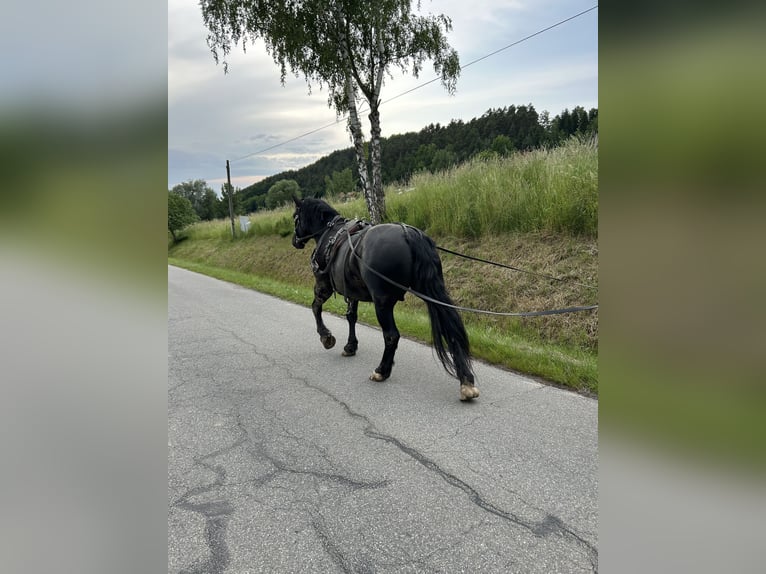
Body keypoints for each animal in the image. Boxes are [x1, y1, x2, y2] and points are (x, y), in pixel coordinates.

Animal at [291, 196, 480, 401]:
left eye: (295, 218)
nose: (295, 241)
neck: (330, 233)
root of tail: (408, 233)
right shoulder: (353, 292)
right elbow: (351, 317)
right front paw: (350, 346)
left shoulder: (323, 286)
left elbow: (315, 308)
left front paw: (326, 337)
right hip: (431, 292)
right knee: (452, 333)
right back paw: (466, 381)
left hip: (382, 303)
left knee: (391, 335)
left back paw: (382, 371)